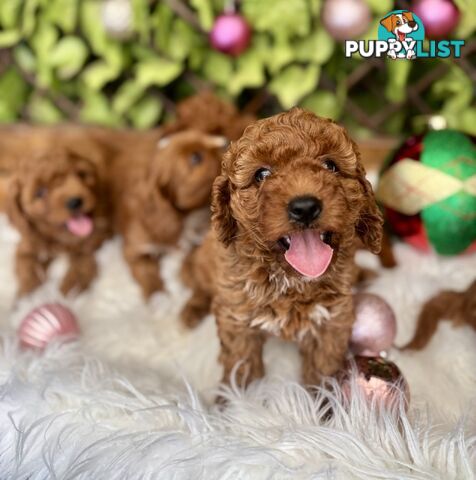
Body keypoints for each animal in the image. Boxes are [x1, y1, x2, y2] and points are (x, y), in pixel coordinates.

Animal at [7, 131, 113, 296]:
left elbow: (83, 251)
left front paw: (73, 284)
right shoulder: (29, 239)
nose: (75, 202)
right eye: (40, 192)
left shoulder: (101, 227)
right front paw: (28, 291)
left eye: (81, 175)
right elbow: (25, 261)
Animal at [114, 129, 228, 298]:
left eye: (206, 135)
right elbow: (146, 271)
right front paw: (158, 298)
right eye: (195, 157)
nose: (225, 141)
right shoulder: (135, 246)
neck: (186, 217)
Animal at [180, 108, 384, 386]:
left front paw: (326, 397)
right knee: (200, 286)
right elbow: (240, 362)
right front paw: (235, 395)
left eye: (330, 165)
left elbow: (324, 366)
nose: (305, 207)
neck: (291, 279)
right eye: (261, 174)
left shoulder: (332, 320)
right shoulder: (236, 316)